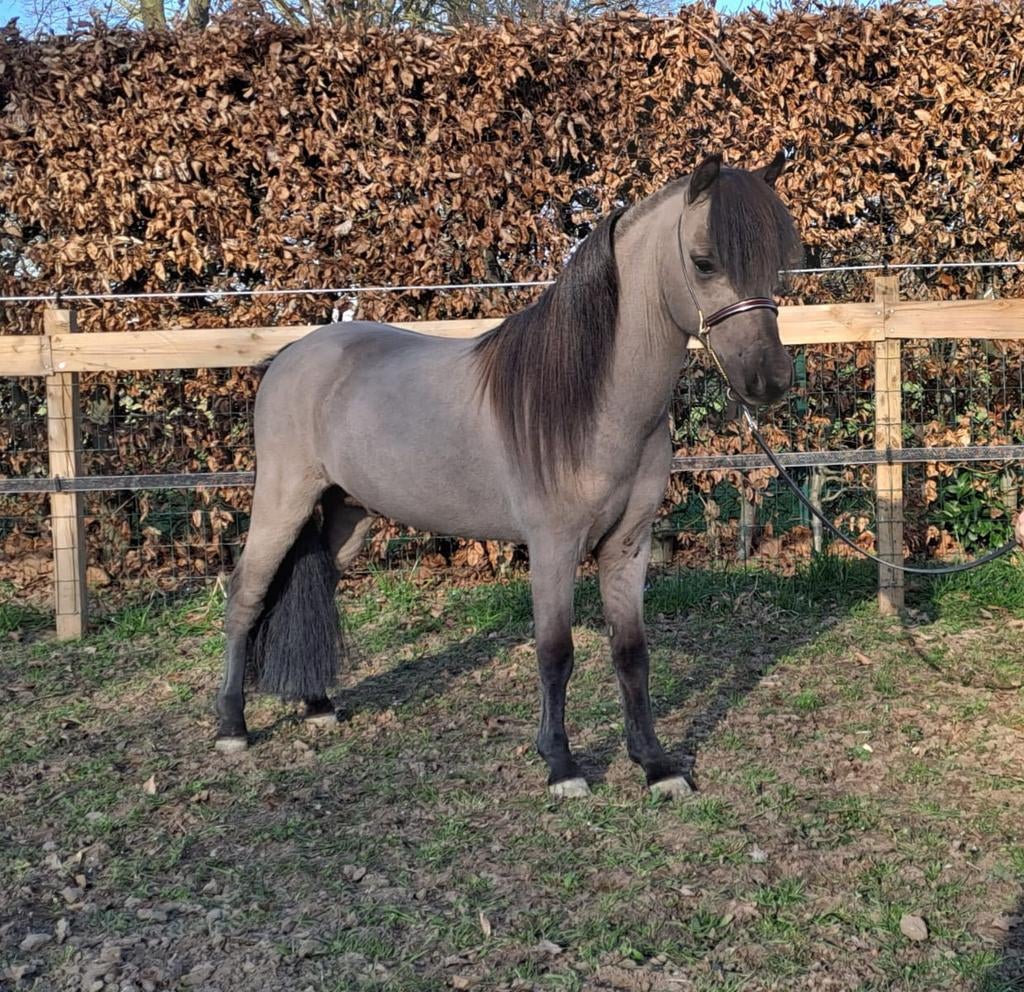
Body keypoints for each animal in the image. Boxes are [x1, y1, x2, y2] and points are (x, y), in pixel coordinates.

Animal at [214, 153, 802, 799]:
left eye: (776, 263)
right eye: (703, 261)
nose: (770, 380)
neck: (591, 398)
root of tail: (291, 355)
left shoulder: (629, 543)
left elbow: (631, 652)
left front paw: (655, 764)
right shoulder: (553, 545)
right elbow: (555, 653)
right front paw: (562, 766)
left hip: (349, 513)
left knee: (319, 580)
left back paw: (318, 704)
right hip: (281, 503)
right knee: (246, 594)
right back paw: (232, 726)